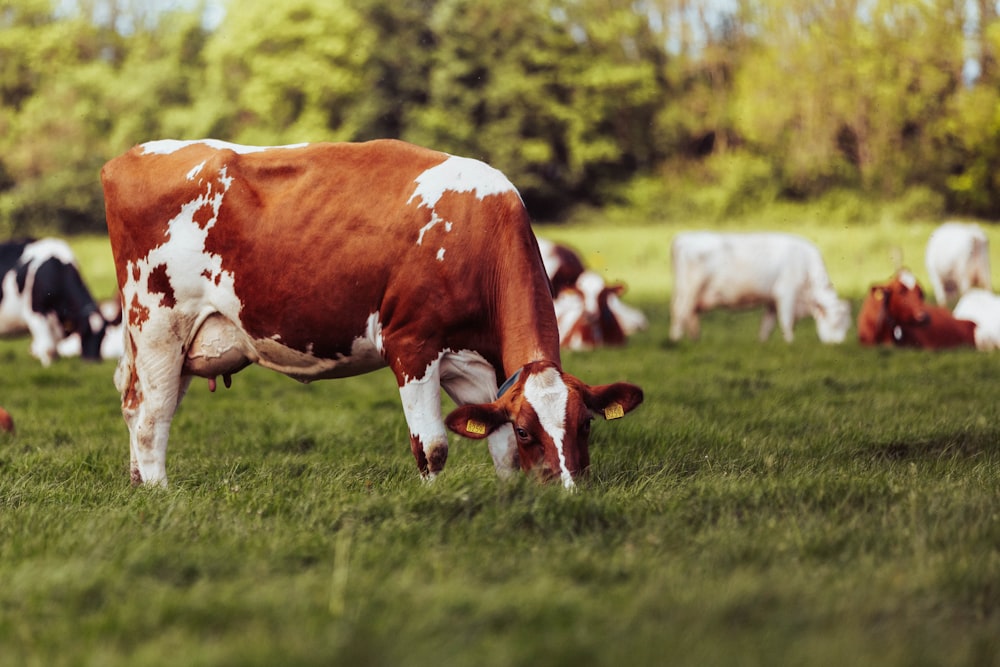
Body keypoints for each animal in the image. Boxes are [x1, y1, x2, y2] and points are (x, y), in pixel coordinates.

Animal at [101, 138, 644, 490]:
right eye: (532, 430)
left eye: (586, 425)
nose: (568, 492)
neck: (479, 232)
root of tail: (131, 156)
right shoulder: (412, 346)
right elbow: (433, 446)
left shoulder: (477, 364)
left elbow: (498, 443)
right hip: (159, 325)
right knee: (151, 417)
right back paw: (160, 496)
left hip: (179, 345)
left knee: (135, 404)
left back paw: (137, 485)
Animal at [672, 231, 852, 344]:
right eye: (836, 322)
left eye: (847, 325)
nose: (838, 344)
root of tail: (684, 238)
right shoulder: (786, 294)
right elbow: (786, 321)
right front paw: (790, 342)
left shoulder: (772, 301)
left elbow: (767, 326)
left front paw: (762, 343)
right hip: (689, 292)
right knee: (680, 313)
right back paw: (676, 340)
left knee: (689, 315)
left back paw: (695, 339)